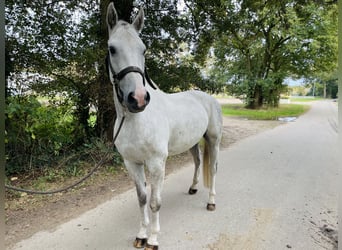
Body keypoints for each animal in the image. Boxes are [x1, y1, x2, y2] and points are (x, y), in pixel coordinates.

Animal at [107, 2, 223, 249]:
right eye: (112, 49)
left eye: (143, 49)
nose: (138, 99)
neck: (136, 120)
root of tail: (208, 98)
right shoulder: (132, 163)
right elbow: (142, 199)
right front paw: (141, 235)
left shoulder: (157, 163)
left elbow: (155, 202)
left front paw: (152, 238)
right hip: (192, 143)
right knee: (198, 162)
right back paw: (193, 187)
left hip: (213, 140)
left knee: (213, 168)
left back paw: (211, 202)